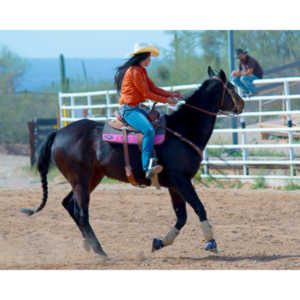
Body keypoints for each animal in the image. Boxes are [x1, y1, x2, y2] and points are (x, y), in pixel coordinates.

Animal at [22, 67, 244, 256]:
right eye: (231, 87)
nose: (241, 104)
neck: (183, 129)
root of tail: (59, 132)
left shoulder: (174, 184)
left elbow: (181, 216)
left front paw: (159, 242)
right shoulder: (181, 180)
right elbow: (199, 208)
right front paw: (211, 243)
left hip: (90, 178)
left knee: (69, 205)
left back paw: (92, 246)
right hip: (80, 179)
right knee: (81, 212)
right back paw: (101, 252)